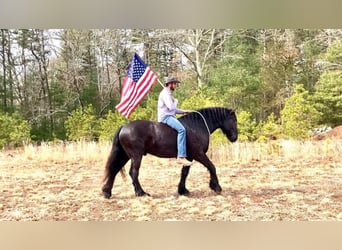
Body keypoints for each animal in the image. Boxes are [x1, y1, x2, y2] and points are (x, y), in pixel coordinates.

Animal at [102, 106, 238, 198]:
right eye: (234, 121)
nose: (234, 138)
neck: (197, 126)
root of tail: (124, 127)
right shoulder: (198, 154)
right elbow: (211, 167)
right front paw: (216, 187)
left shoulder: (189, 157)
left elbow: (184, 173)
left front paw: (182, 190)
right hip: (136, 156)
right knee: (133, 173)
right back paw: (141, 193)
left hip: (125, 155)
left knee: (114, 170)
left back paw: (107, 192)